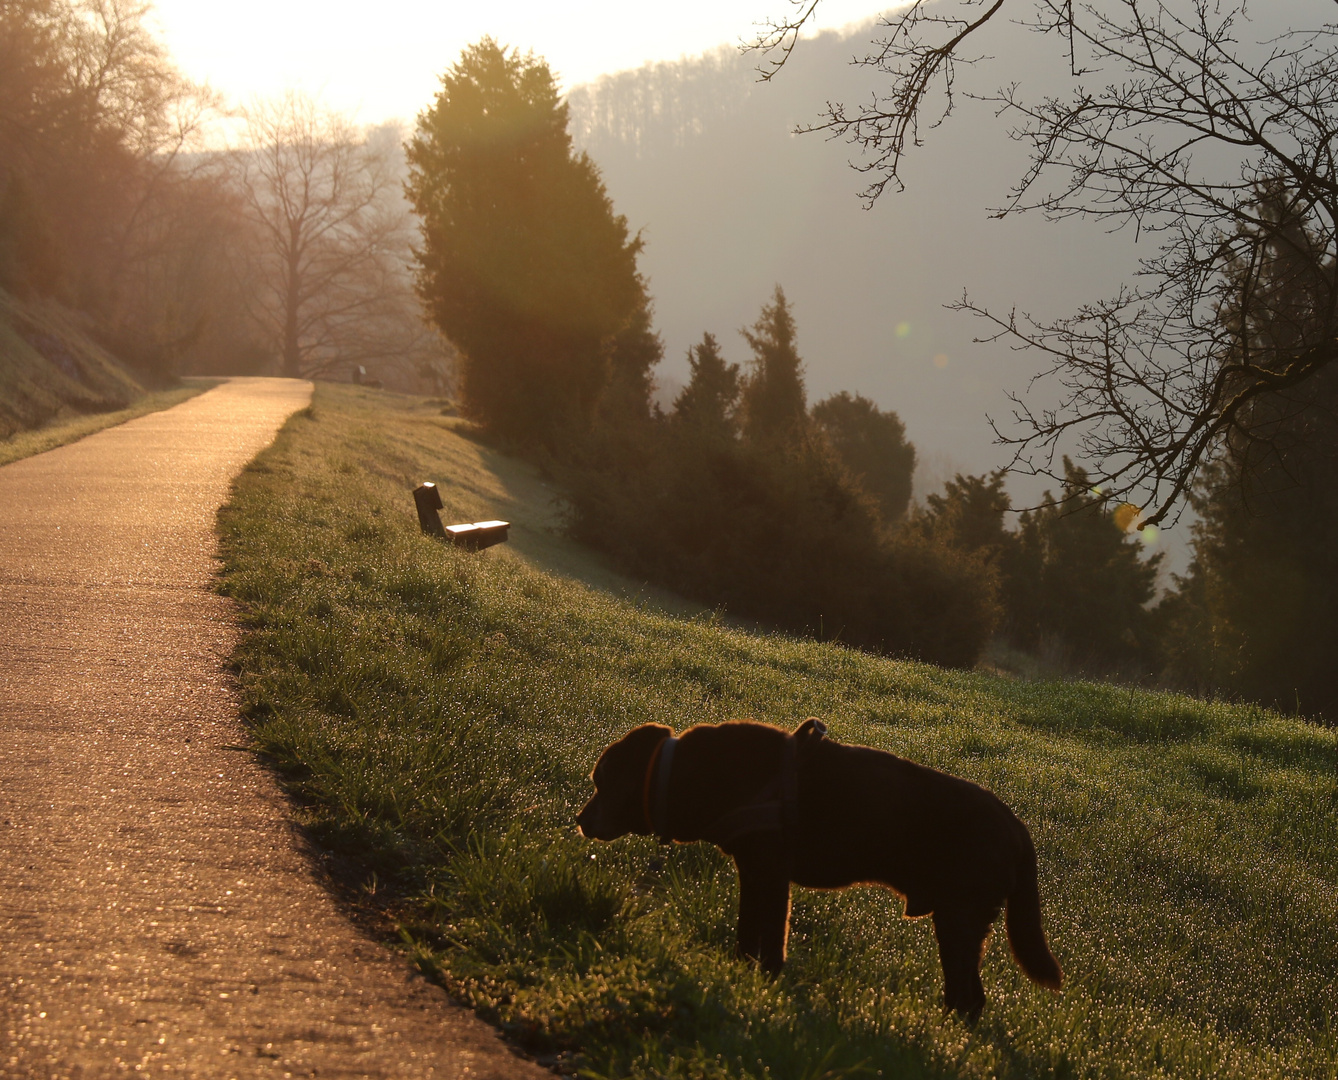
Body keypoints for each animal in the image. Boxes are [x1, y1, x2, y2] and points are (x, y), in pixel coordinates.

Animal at [580, 722, 1059, 1017]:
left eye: (601, 781)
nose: (582, 819)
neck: (694, 772)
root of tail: (1017, 827)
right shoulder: (753, 874)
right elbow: (746, 933)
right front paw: (738, 971)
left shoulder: (772, 876)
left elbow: (771, 942)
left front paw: (764, 982)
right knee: (966, 996)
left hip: (959, 920)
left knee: (968, 998)